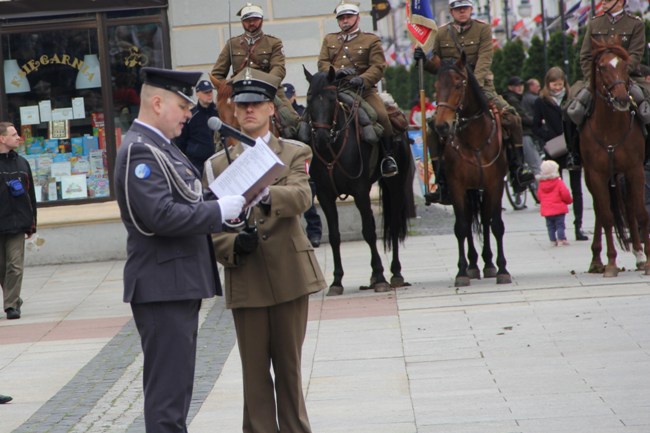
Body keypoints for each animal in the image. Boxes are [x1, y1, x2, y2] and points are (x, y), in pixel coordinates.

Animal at [430, 52, 512, 286]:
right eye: (436, 86)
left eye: (458, 84)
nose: (441, 126)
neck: (475, 139)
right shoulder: (457, 187)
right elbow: (461, 227)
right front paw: (462, 272)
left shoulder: (495, 184)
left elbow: (496, 225)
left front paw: (502, 269)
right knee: (469, 222)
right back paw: (474, 265)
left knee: (484, 220)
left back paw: (489, 263)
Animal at [576, 39, 644, 276]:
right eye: (602, 67)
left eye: (624, 65)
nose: (622, 98)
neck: (610, 128)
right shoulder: (596, 174)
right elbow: (606, 216)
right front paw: (612, 262)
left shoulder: (635, 169)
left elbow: (640, 211)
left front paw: (646, 260)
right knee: (600, 210)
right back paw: (597, 260)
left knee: (630, 208)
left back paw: (639, 255)